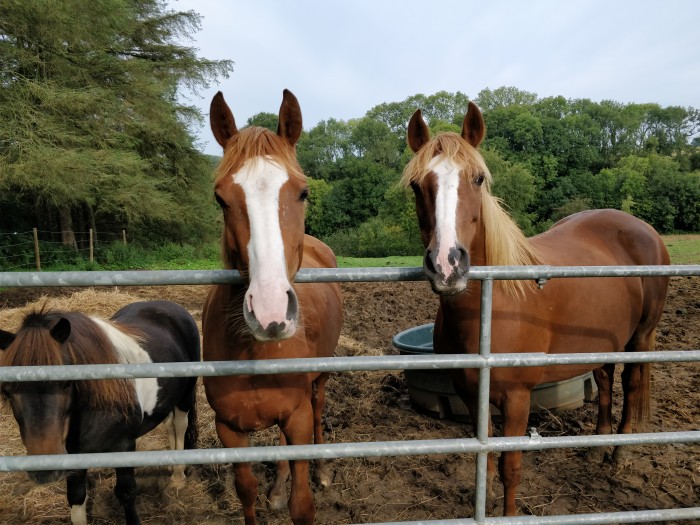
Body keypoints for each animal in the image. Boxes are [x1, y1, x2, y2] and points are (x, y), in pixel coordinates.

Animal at [202, 90, 344, 524]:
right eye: (220, 198)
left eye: (303, 192)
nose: (270, 313)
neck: (254, 352)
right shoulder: (228, 428)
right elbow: (246, 490)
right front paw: (271, 493)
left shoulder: (297, 417)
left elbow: (303, 506)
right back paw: (278, 487)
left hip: (318, 384)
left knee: (317, 412)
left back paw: (323, 471)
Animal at [402, 103, 668, 516]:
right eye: (417, 185)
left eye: (478, 179)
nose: (447, 264)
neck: (492, 308)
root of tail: (645, 229)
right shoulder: (470, 393)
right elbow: (484, 457)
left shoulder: (517, 398)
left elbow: (510, 466)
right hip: (603, 339)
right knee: (605, 378)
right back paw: (598, 446)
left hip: (640, 337)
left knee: (631, 383)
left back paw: (620, 453)